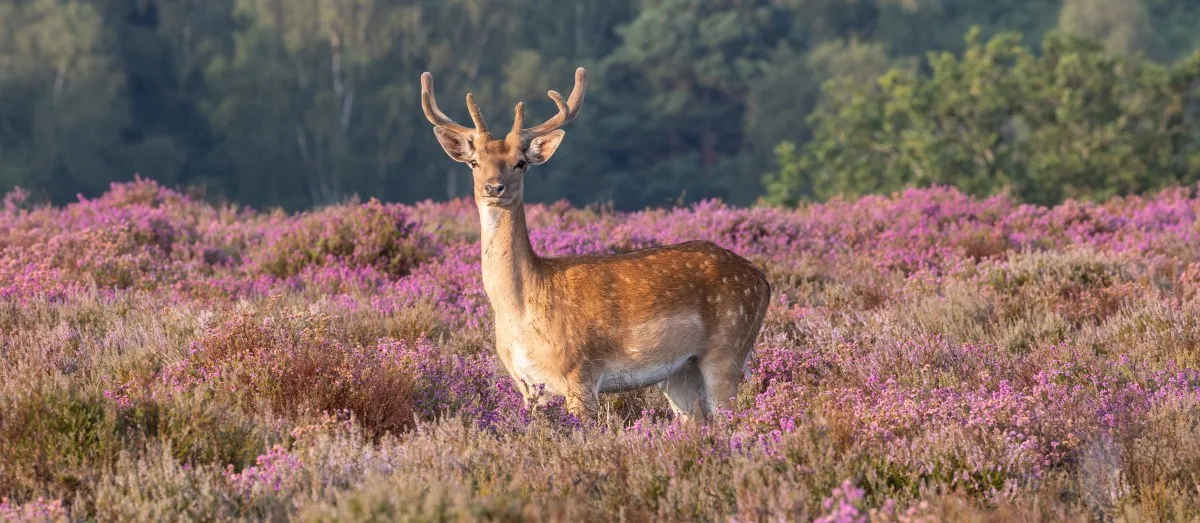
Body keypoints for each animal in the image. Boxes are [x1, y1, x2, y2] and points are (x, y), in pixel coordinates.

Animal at [422, 66, 772, 419]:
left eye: (520, 162)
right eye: (474, 162)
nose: (494, 187)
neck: (520, 311)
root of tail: (763, 280)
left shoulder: (581, 371)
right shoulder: (527, 385)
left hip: (728, 347)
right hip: (680, 371)